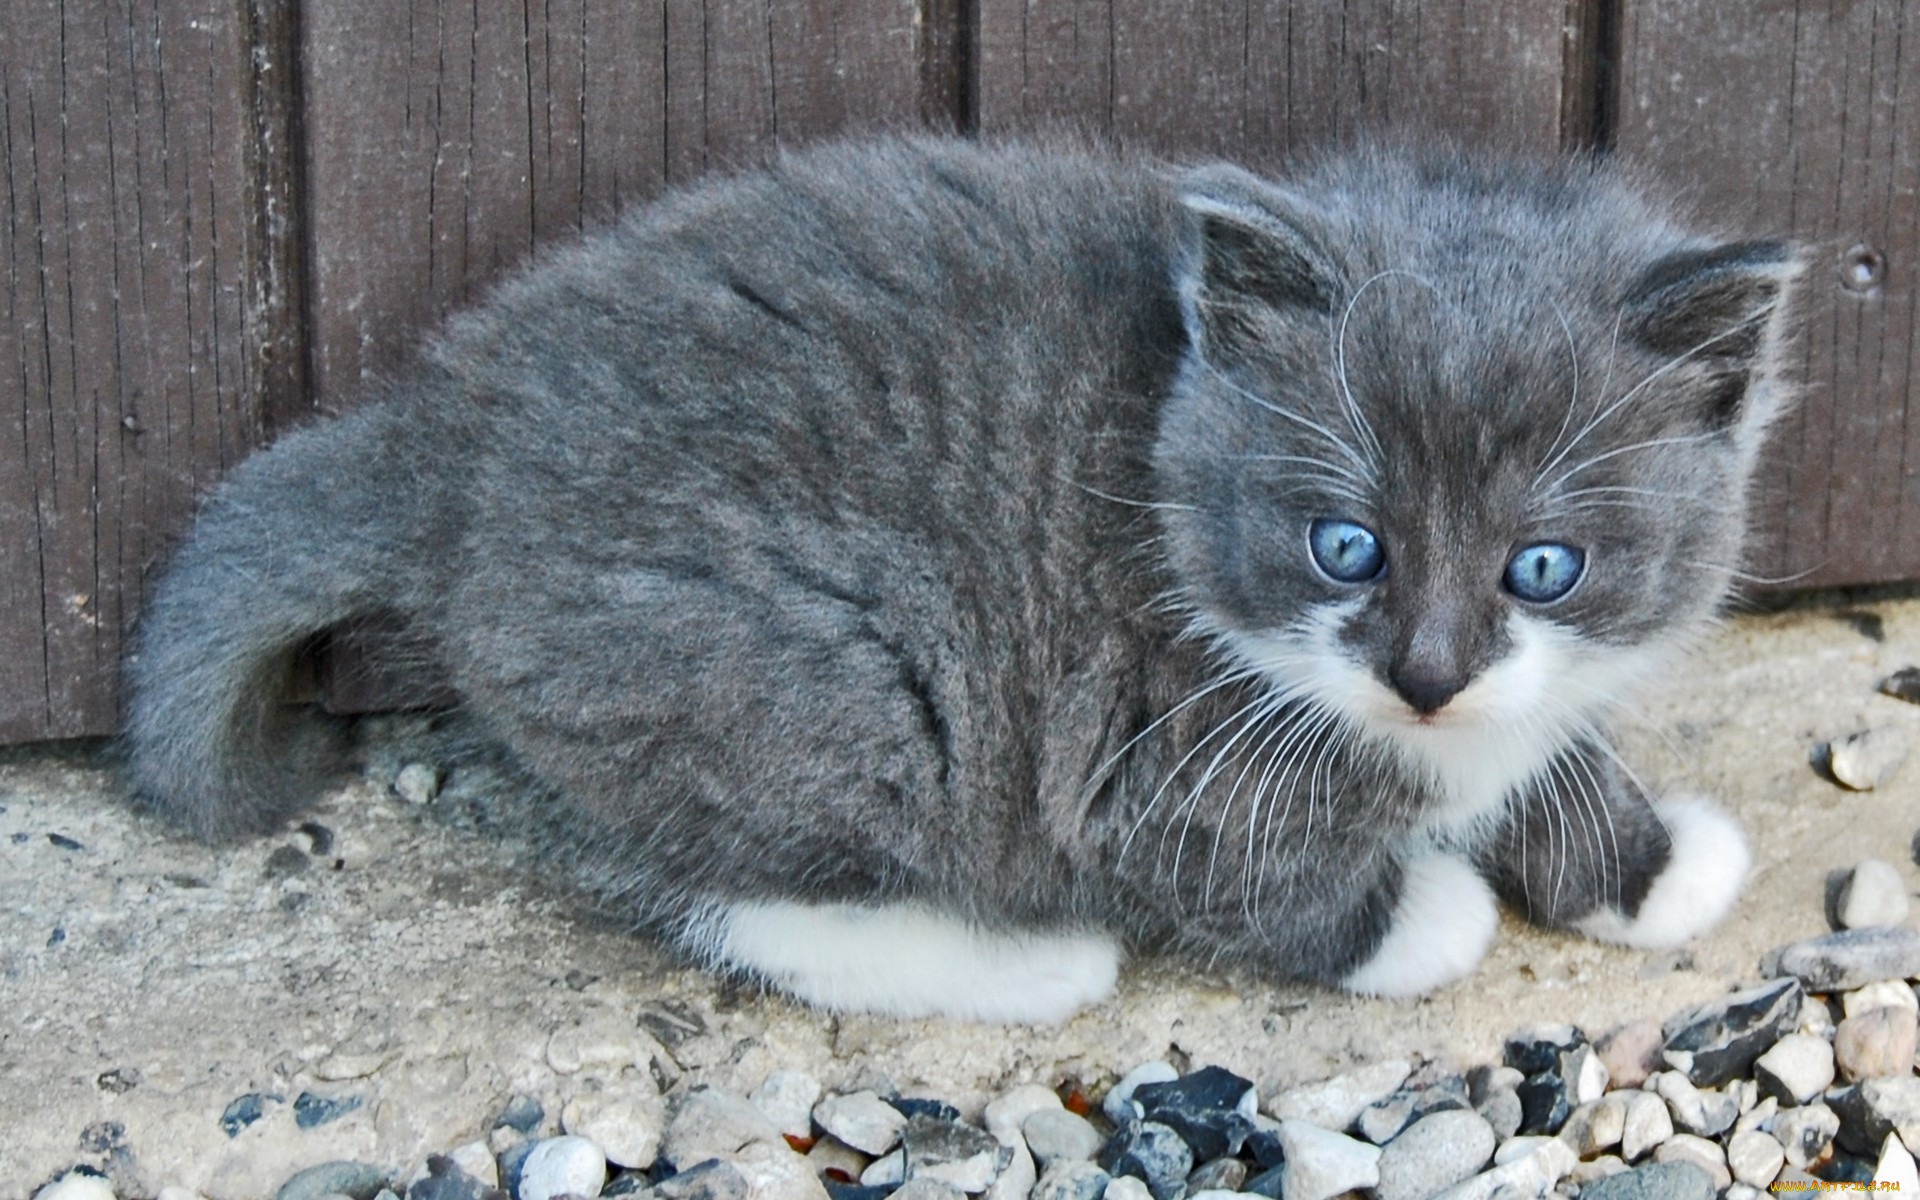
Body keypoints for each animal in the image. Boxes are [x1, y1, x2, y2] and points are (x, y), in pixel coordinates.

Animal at [131, 138, 1797, 1021]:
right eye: (1348, 545)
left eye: (1543, 565)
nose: (1429, 674)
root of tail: (450, 435)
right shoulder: (1150, 757)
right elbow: (1259, 876)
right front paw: (1431, 910)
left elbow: (1546, 748)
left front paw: (1645, 862)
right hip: (799, 679)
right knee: (718, 885)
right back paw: (1020, 959)